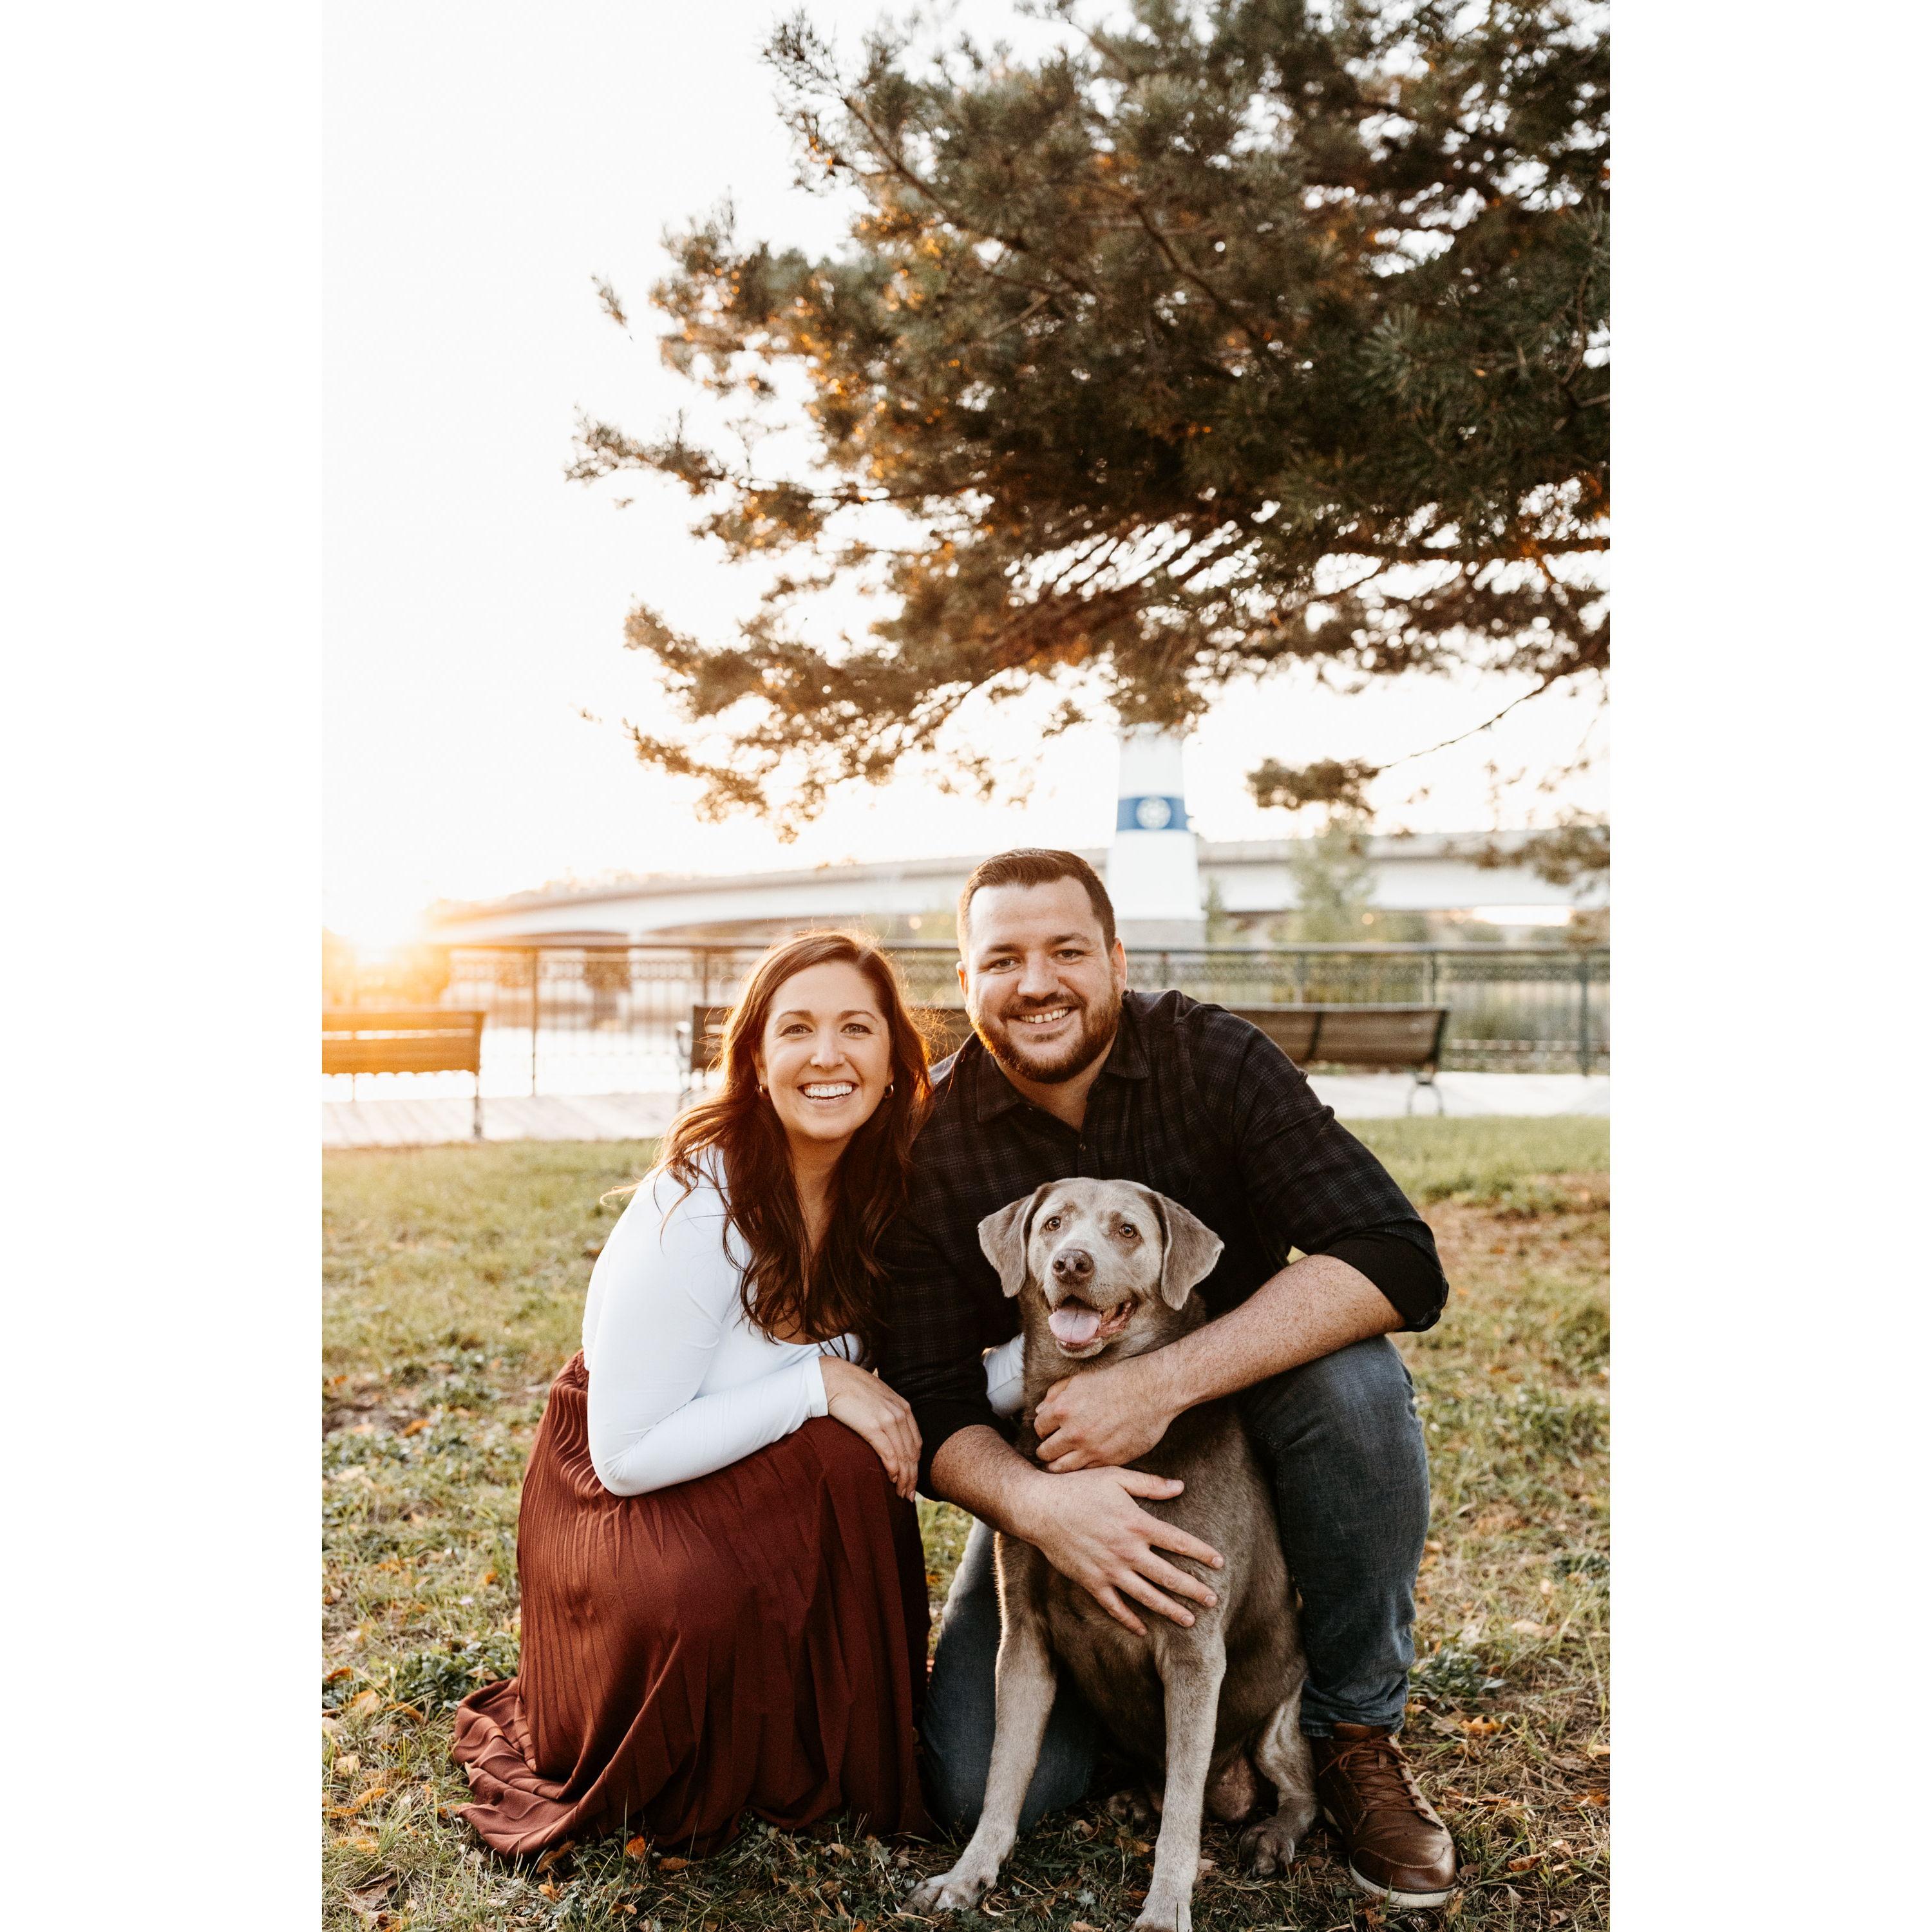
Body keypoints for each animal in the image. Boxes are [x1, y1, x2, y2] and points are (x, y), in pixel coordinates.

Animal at [912, 1175, 1321, 1932]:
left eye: (1127, 1231)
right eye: (1053, 1223)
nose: (1071, 1263)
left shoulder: (1194, 1651)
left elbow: (1183, 1816)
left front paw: (1164, 1910)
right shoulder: (1024, 1639)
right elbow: (1002, 1775)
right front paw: (967, 1876)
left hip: (1282, 1710)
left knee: (1290, 1790)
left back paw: (1270, 1836)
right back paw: (1136, 1797)